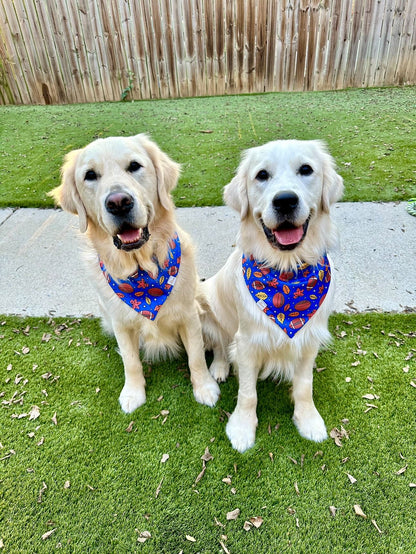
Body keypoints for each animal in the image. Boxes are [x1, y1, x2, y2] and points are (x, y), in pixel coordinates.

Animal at [50, 133, 219, 410]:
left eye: (134, 166)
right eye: (90, 175)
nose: (119, 202)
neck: (142, 271)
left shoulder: (189, 315)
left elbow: (195, 355)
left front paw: (204, 387)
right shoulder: (121, 323)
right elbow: (130, 361)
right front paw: (133, 393)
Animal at [200, 140, 342, 450]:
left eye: (306, 169)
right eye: (262, 175)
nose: (285, 200)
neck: (287, 272)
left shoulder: (309, 339)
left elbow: (304, 386)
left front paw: (308, 420)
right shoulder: (247, 341)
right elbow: (248, 393)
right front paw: (242, 428)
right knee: (219, 343)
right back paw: (219, 367)